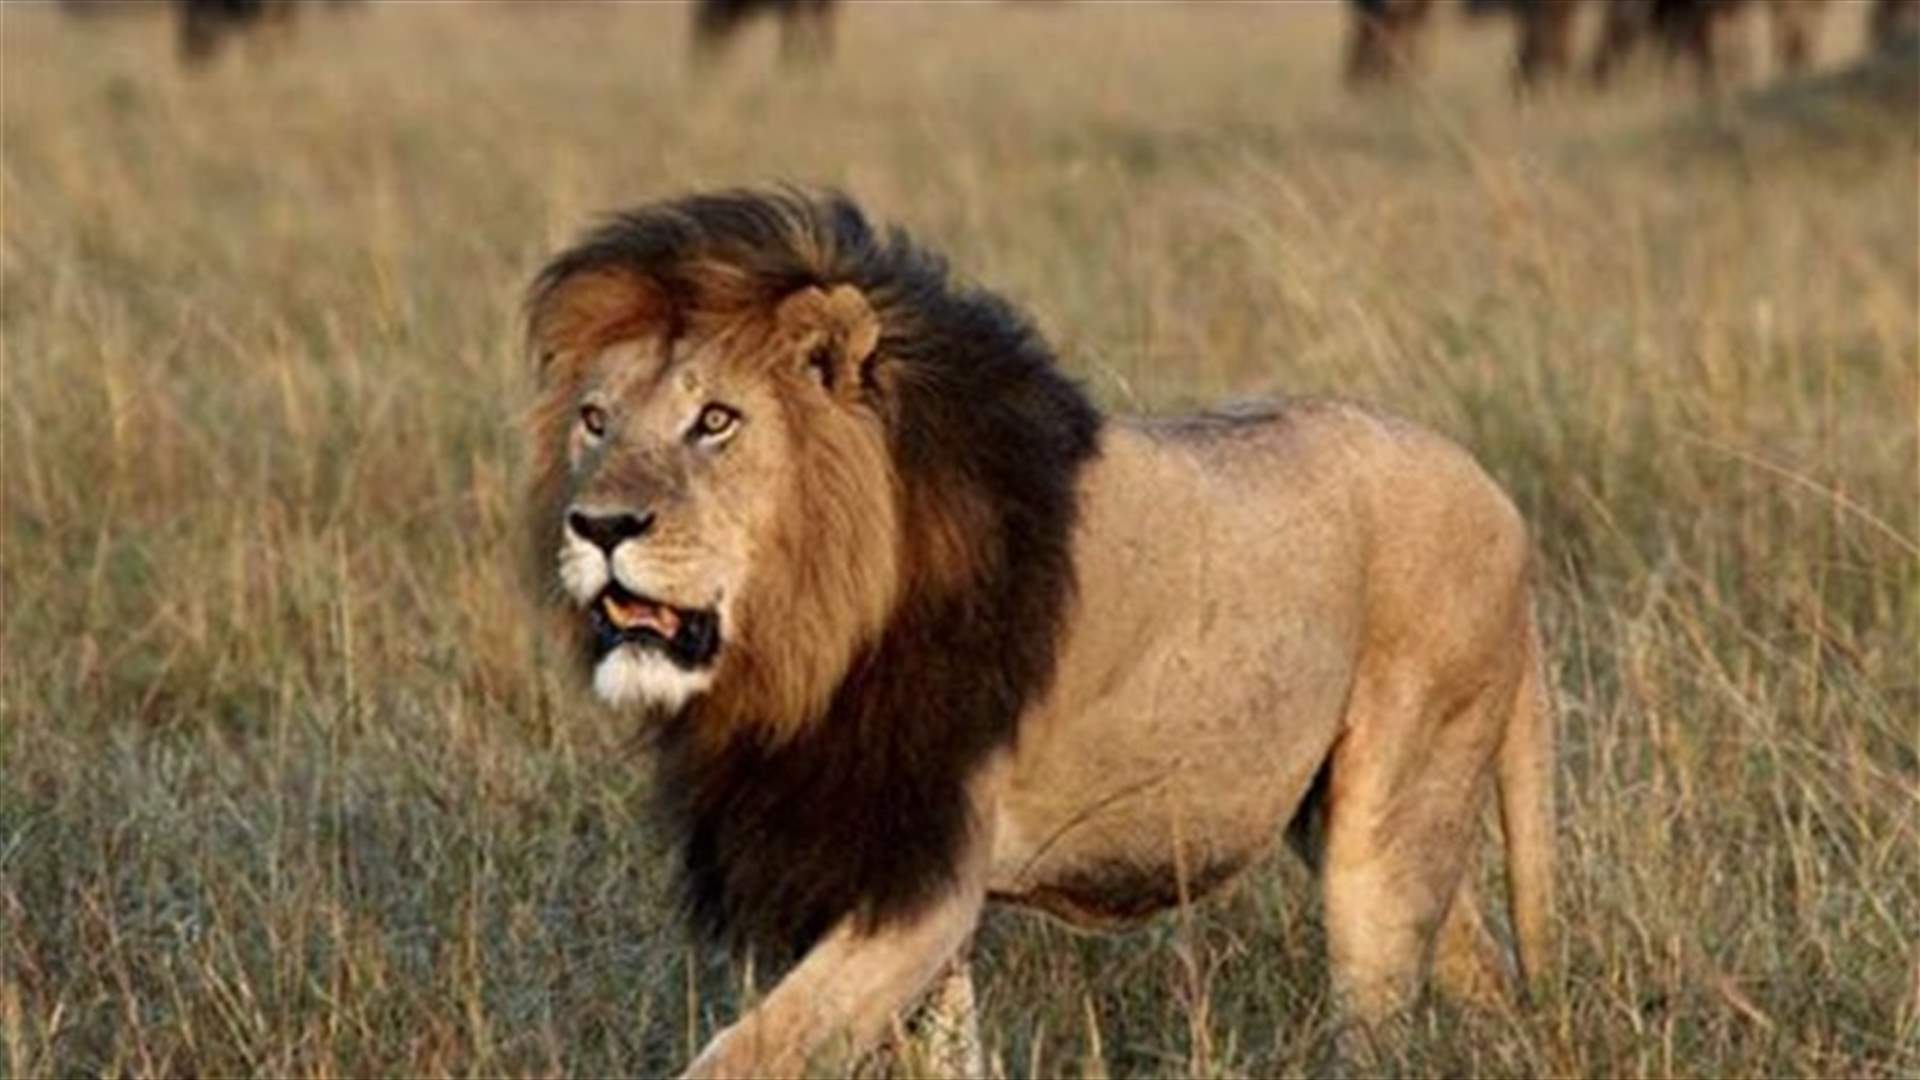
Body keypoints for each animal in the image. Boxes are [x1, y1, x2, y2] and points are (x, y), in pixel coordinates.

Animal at [524, 189, 1557, 1078]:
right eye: (595, 421)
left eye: (716, 421)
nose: (599, 527)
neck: (805, 649)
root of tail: (1499, 496)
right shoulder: (878, 864)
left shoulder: (923, 874)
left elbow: (750, 1050)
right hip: (1347, 810)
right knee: (1480, 975)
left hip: (1392, 814)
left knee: (1381, 1009)